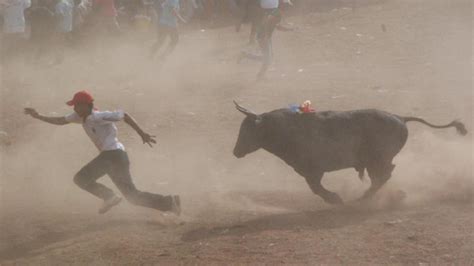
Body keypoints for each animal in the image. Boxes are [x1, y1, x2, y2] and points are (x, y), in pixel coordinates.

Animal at [233, 102, 466, 204]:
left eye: (246, 130)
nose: (235, 152)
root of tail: (400, 117)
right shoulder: (310, 172)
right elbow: (315, 188)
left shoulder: (312, 171)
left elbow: (316, 188)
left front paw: (335, 199)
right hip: (376, 161)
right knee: (384, 175)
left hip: (377, 159)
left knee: (384, 174)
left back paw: (366, 197)